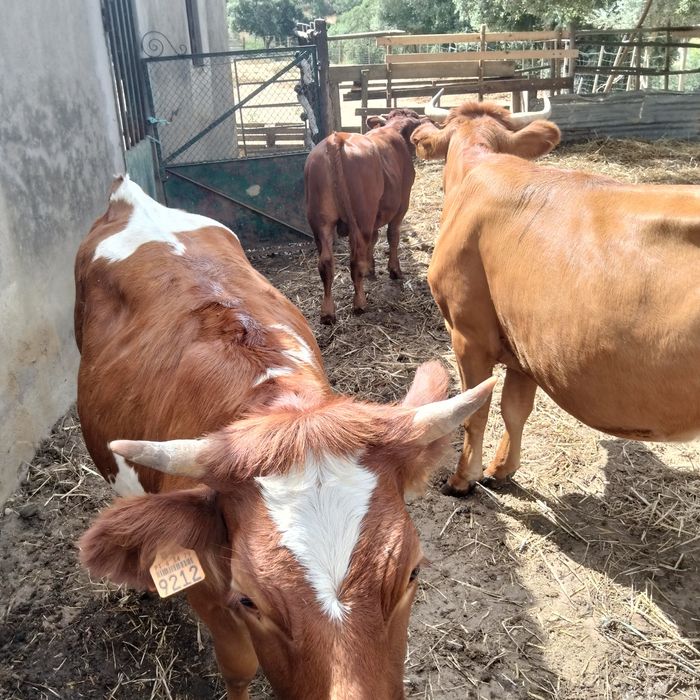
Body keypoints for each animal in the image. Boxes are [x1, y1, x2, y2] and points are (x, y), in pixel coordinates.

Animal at [74, 175, 496, 699]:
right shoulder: (208, 593)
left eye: (412, 572)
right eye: (251, 600)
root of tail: (131, 195)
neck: (280, 401)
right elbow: (238, 665)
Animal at [304, 109, 425, 324]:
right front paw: (394, 270)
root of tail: (335, 139)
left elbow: (375, 239)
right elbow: (392, 236)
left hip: (320, 222)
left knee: (325, 263)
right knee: (355, 260)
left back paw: (327, 312)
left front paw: (371, 268)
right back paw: (360, 303)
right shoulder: (401, 205)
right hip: (360, 219)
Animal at [411, 91, 700, 496]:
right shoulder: (526, 343)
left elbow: (475, 411)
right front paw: (502, 469)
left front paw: (462, 479)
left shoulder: (468, 332)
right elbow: (515, 410)